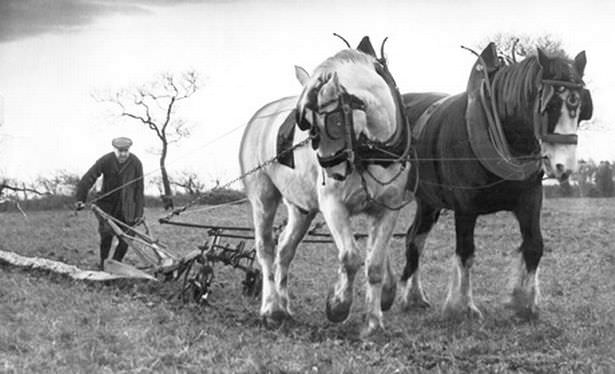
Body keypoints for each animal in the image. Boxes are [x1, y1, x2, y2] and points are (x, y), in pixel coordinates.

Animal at [241, 38, 414, 336]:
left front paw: (373, 323)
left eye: (333, 122)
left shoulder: (388, 207)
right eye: (309, 128)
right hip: (263, 197)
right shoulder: (333, 204)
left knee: (285, 250)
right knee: (265, 249)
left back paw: (284, 307)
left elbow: (375, 264)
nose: (333, 174)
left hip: (301, 209)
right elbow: (350, 257)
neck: (369, 149)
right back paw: (270, 309)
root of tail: (260, 115)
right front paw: (338, 305)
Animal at [400, 43, 592, 318]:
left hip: (428, 201)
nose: (563, 166)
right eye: (550, 105)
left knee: (415, 238)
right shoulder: (465, 208)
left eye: (582, 107)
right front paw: (462, 306)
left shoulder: (530, 199)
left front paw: (524, 303)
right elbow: (466, 253)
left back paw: (414, 296)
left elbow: (535, 246)